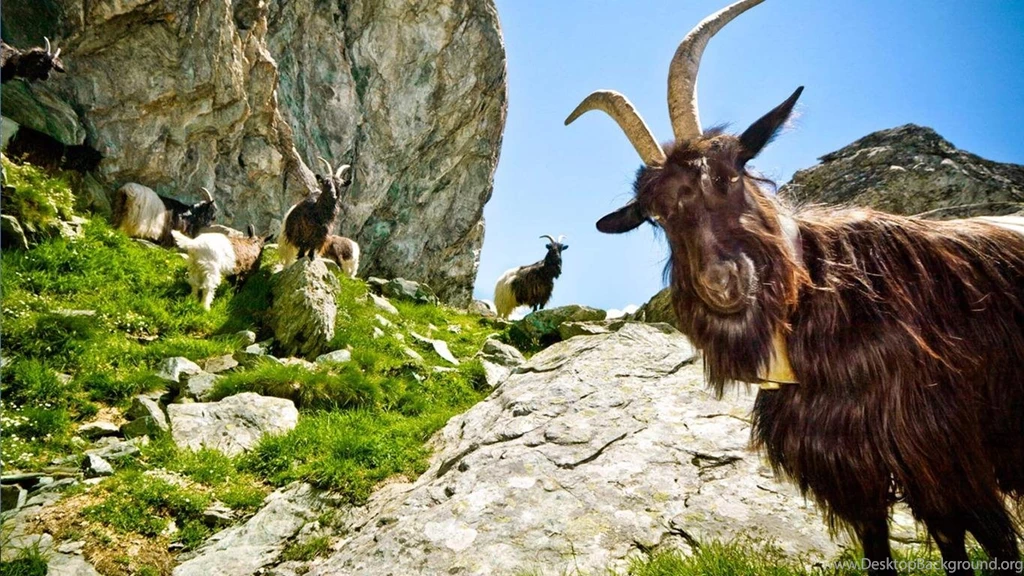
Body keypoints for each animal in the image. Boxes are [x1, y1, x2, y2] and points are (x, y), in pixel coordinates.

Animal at [566, 1, 1024, 574]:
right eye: (657, 216)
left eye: (731, 172)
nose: (722, 283)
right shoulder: (856, 471)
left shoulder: (948, 457)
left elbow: (994, 544)